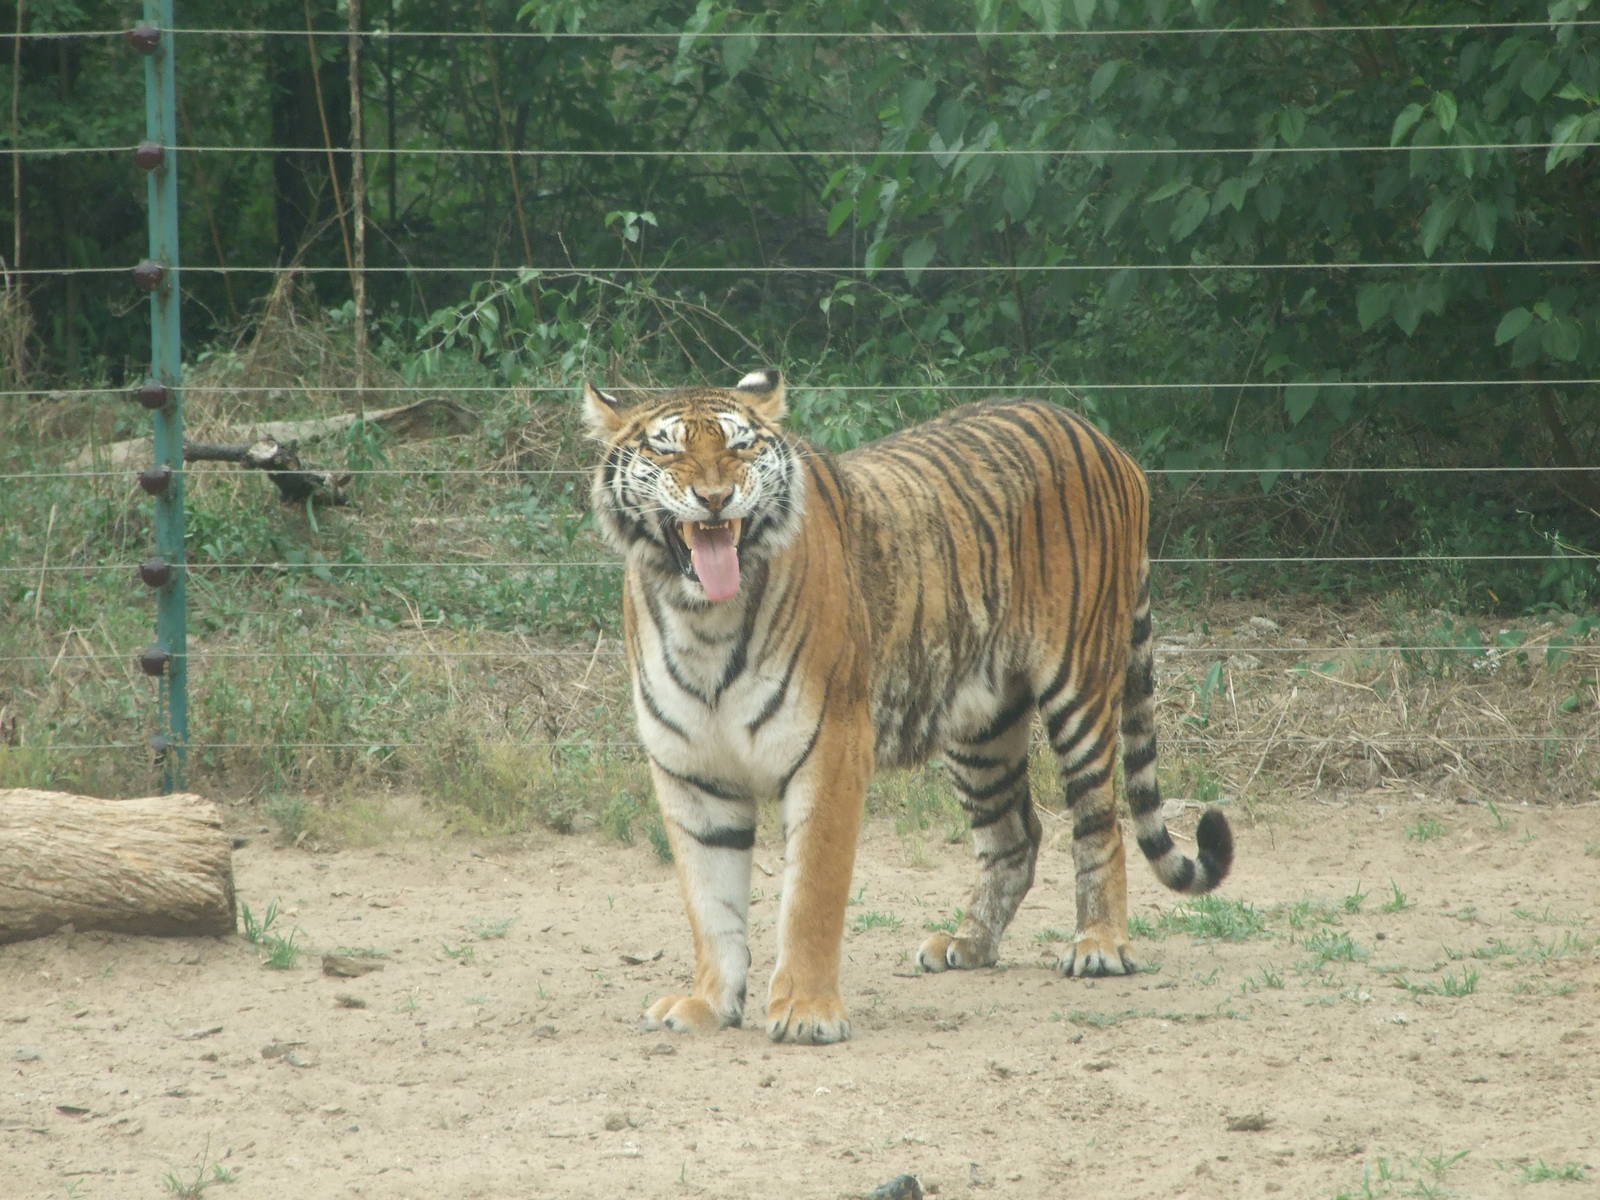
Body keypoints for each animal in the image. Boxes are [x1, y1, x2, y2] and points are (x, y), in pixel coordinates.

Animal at [582, 368, 1233, 1045]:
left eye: (739, 447)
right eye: (668, 450)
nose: (715, 498)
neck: (703, 620)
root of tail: (1102, 439)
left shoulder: (831, 751)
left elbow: (810, 897)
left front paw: (807, 1012)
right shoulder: (691, 773)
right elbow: (710, 905)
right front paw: (708, 1004)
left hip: (1080, 686)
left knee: (1098, 821)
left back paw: (1099, 945)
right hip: (980, 727)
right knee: (1015, 835)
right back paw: (969, 945)